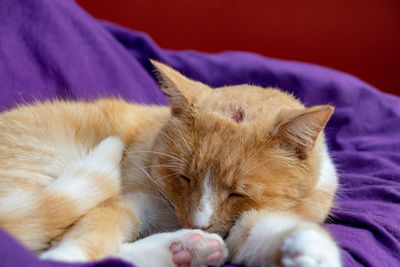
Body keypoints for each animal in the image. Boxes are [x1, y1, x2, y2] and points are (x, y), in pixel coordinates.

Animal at [0, 61, 342, 267]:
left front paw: (314, 251)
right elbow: (94, 232)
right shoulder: (130, 201)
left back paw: (186, 250)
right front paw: (68, 256)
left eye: (237, 193)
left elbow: (270, 231)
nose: (198, 224)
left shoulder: (249, 224)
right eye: (184, 178)